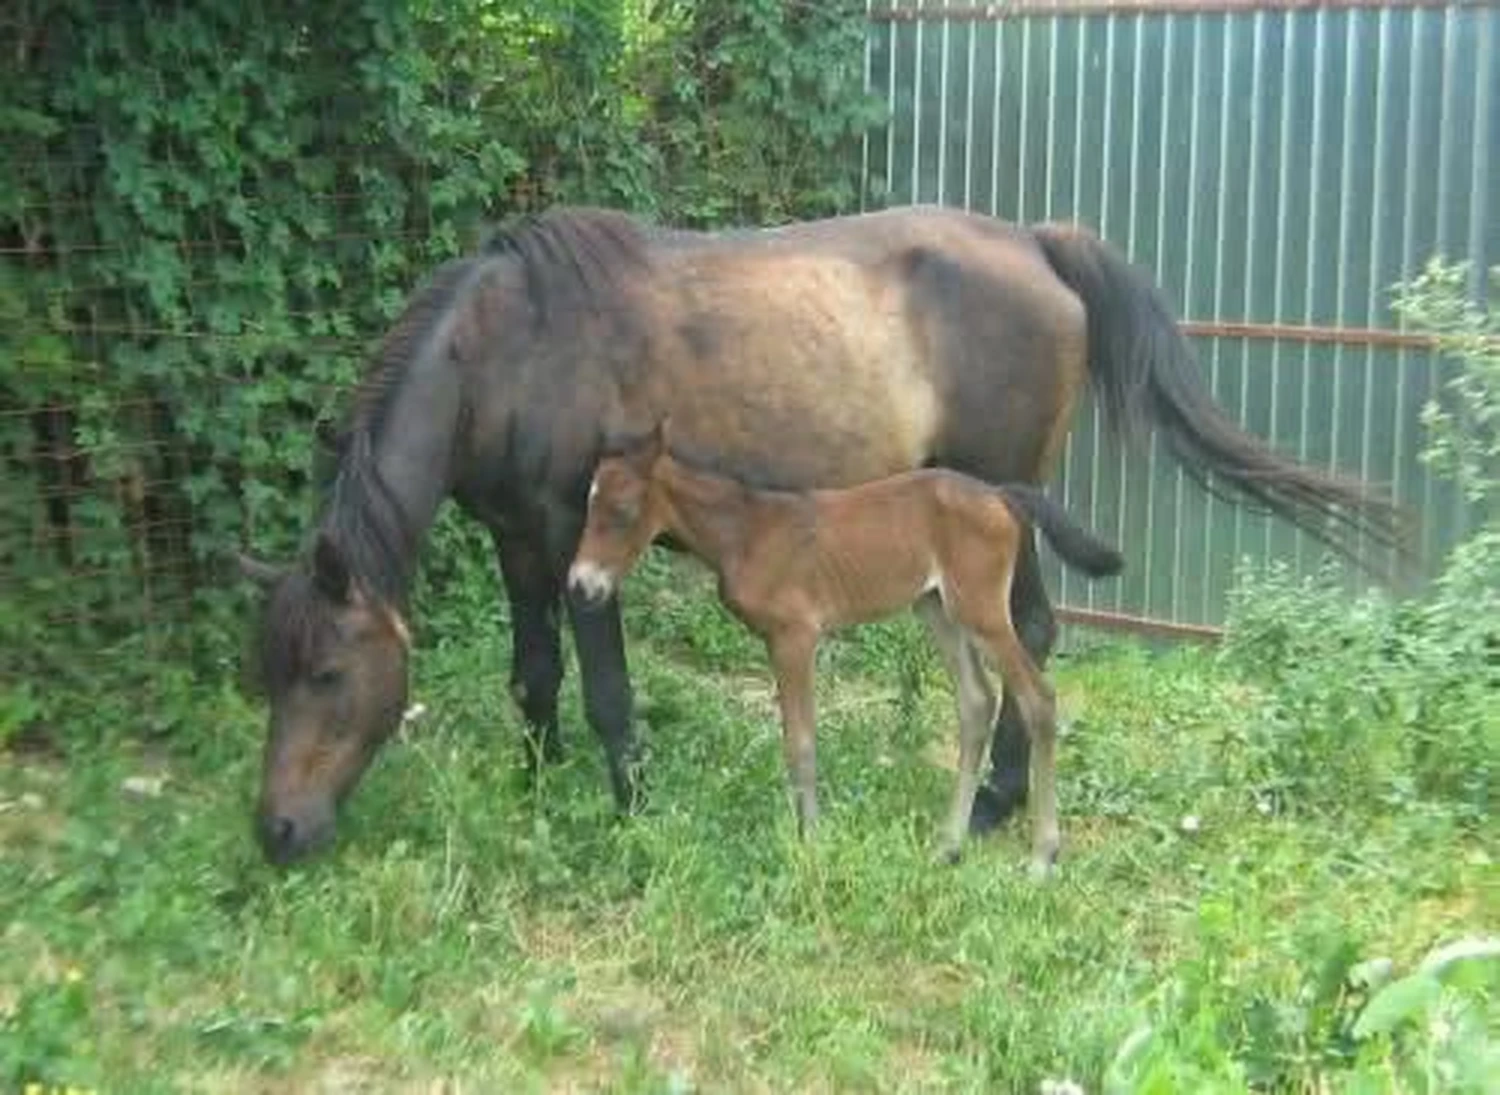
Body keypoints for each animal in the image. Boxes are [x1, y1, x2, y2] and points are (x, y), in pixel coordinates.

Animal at [567, 422, 1126, 872]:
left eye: (623, 509)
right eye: (587, 504)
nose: (580, 586)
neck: (746, 532)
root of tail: (1001, 494)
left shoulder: (795, 637)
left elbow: (801, 743)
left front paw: (811, 842)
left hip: (982, 610)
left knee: (1039, 699)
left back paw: (1042, 856)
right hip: (936, 608)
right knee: (976, 703)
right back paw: (948, 846)